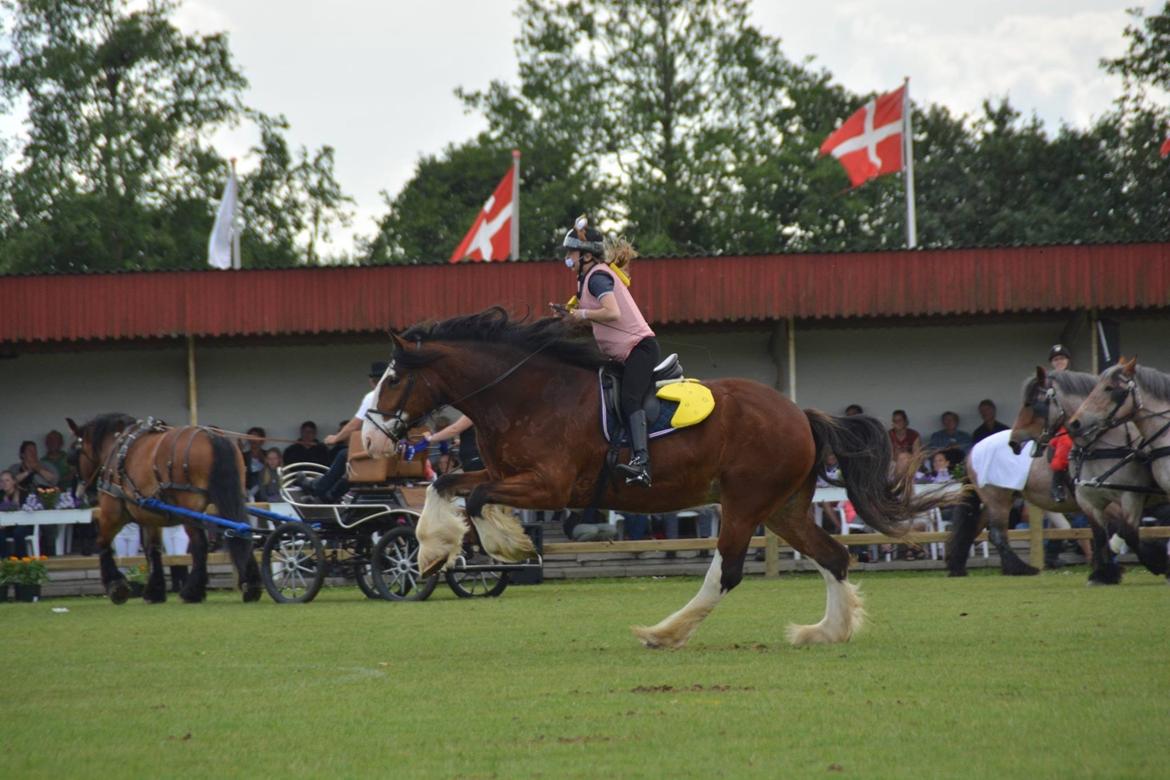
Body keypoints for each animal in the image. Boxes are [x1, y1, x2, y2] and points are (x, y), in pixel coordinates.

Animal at [68, 413, 263, 603]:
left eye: (75, 453)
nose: (82, 494)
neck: (118, 451)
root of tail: (212, 436)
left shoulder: (112, 511)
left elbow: (102, 541)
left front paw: (116, 586)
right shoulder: (148, 515)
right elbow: (152, 549)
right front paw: (154, 591)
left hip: (190, 508)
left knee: (200, 544)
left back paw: (192, 591)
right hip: (226, 499)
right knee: (240, 530)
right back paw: (251, 586)